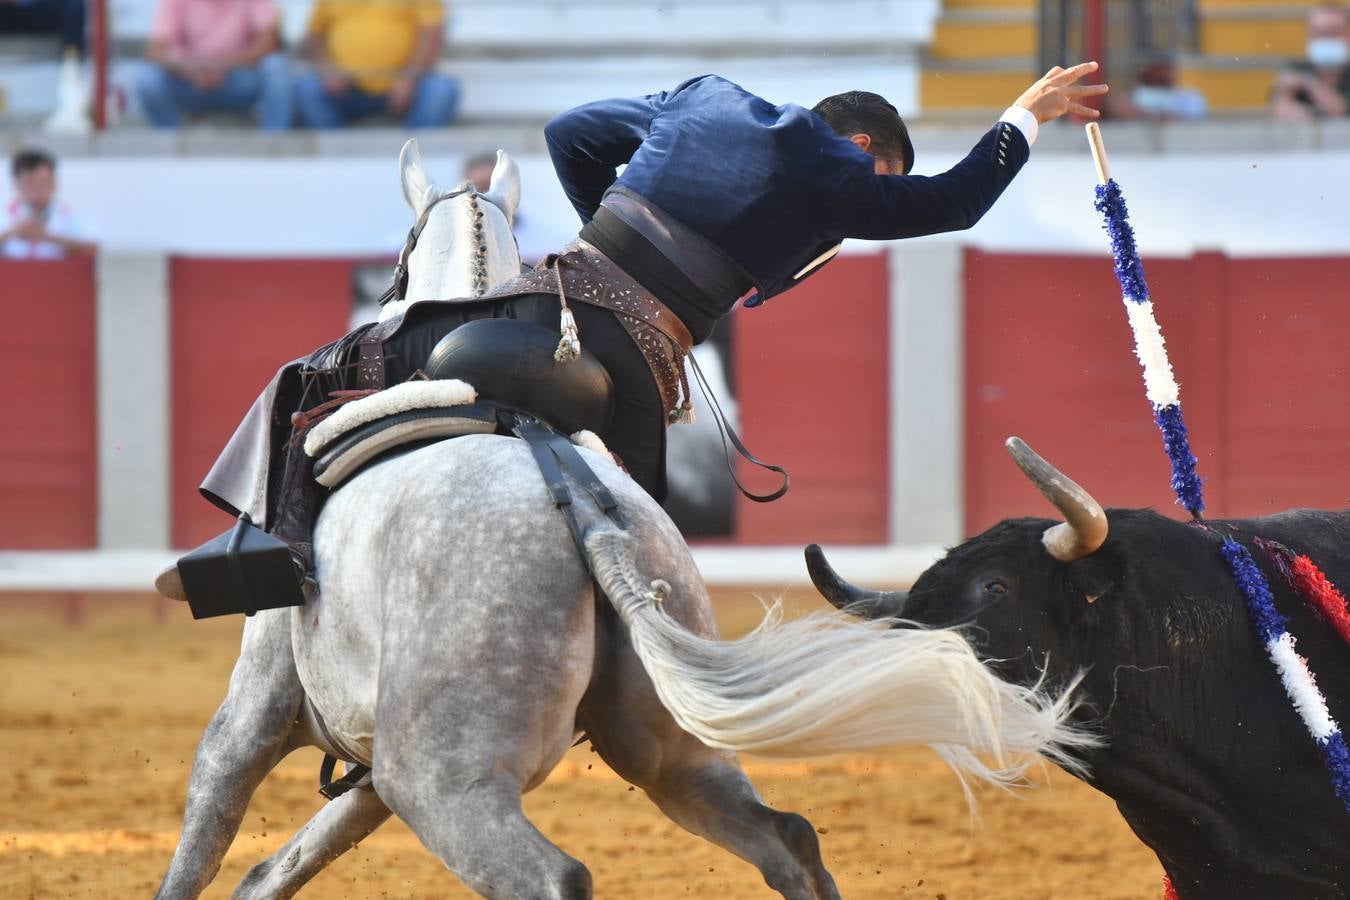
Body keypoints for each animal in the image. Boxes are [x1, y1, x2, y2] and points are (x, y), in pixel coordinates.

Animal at [153, 141, 1090, 900]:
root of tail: (588, 518)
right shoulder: (372, 757)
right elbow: (288, 859)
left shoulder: (258, 706)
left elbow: (205, 832)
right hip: (668, 749)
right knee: (787, 837)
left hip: (445, 775)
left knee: (552, 876)